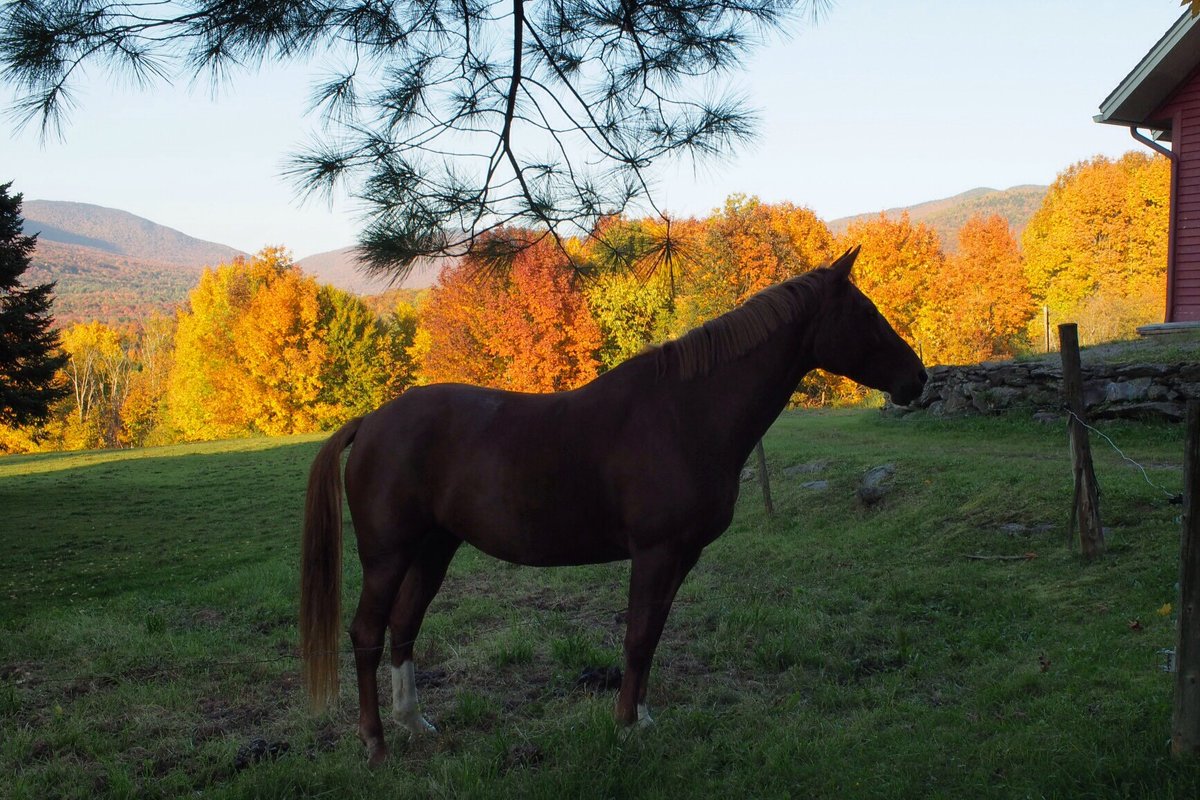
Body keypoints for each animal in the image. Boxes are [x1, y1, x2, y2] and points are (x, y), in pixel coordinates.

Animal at [302, 247, 926, 767]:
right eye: (867, 314)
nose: (917, 379)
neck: (685, 413)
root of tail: (372, 422)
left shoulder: (681, 556)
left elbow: (652, 636)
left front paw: (643, 718)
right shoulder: (655, 552)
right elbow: (638, 636)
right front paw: (627, 726)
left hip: (434, 548)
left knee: (404, 627)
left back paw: (414, 723)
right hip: (388, 556)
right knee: (367, 632)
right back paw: (376, 744)